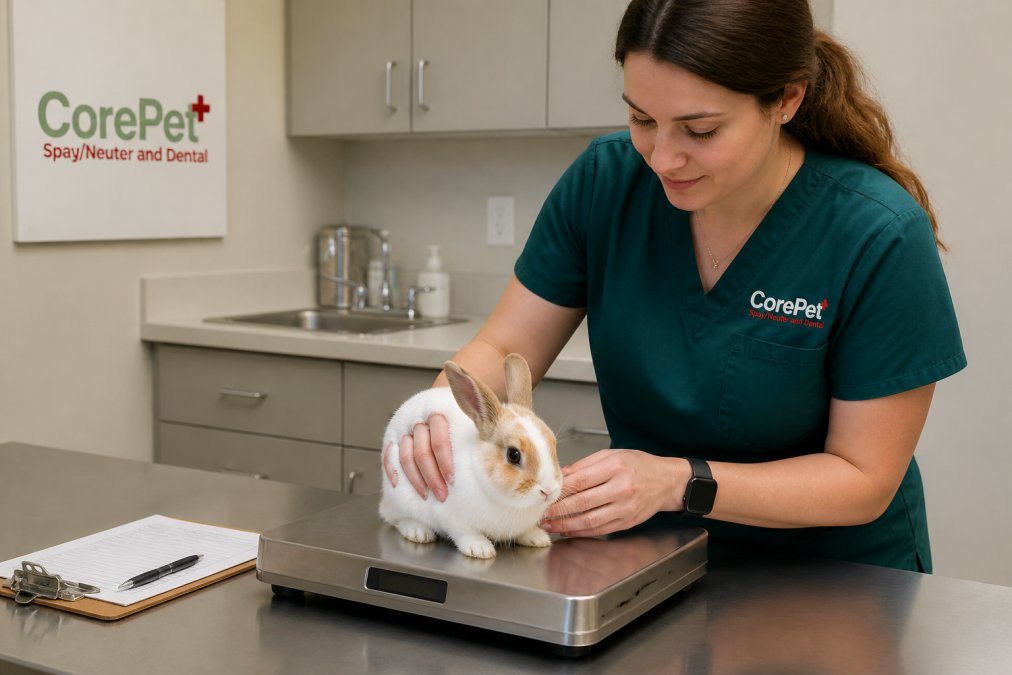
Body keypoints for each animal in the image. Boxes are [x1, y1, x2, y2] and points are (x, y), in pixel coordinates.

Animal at [379, 353, 563, 559]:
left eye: (553, 444)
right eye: (513, 454)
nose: (548, 490)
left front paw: (537, 538)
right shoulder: (450, 515)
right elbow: (465, 533)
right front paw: (480, 549)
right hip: (400, 496)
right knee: (395, 518)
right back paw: (418, 532)